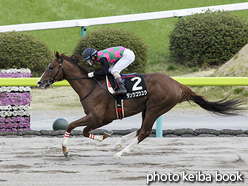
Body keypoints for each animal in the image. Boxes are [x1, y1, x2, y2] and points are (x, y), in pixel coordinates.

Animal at [37, 51, 244, 159]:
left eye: (51, 67)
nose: (39, 82)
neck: (90, 86)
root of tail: (178, 84)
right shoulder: (101, 118)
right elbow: (83, 131)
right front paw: (106, 137)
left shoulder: (97, 117)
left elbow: (74, 127)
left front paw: (66, 150)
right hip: (147, 108)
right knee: (140, 129)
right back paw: (120, 143)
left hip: (155, 107)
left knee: (144, 131)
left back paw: (122, 152)